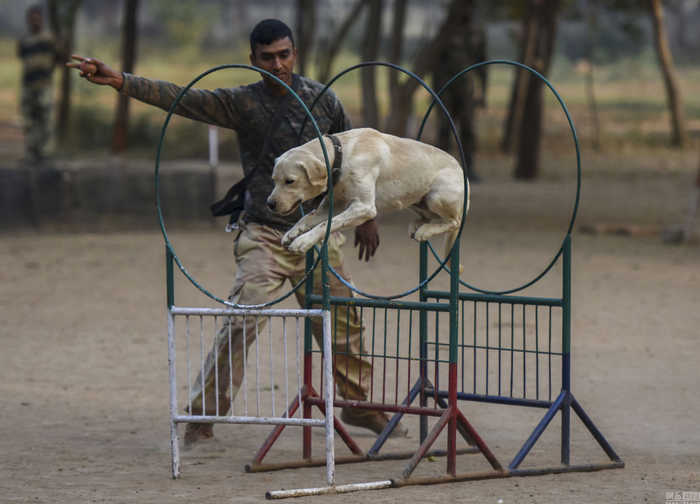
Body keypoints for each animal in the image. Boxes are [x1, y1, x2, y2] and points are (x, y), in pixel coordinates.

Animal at [266, 128, 468, 258]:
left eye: (290, 181)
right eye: (273, 180)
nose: (269, 204)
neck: (342, 156)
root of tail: (463, 174)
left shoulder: (363, 207)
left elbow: (326, 225)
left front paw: (303, 241)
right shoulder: (331, 207)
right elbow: (307, 218)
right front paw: (292, 233)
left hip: (437, 196)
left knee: (454, 222)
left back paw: (425, 231)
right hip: (417, 200)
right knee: (434, 217)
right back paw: (418, 225)